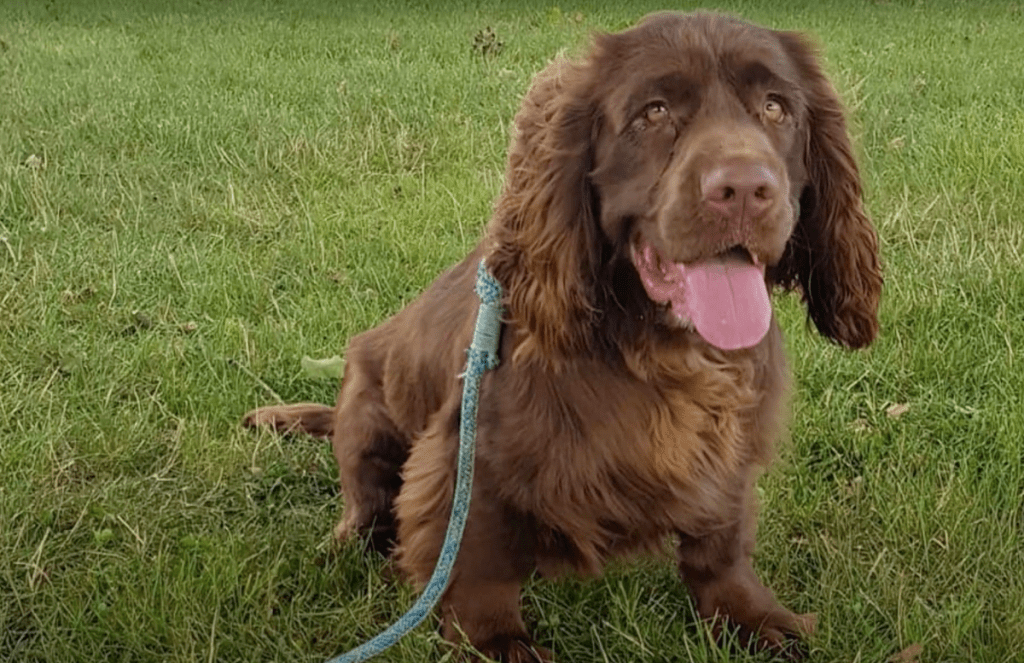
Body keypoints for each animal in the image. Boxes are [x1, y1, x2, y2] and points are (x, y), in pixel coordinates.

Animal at [245, 11, 880, 663]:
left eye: (776, 107)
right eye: (654, 112)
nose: (746, 190)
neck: (663, 348)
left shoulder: (728, 448)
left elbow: (720, 544)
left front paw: (751, 616)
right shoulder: (465, 454)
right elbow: (476, 560)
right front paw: (496, 642)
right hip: (366, 409)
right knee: (366, 504)